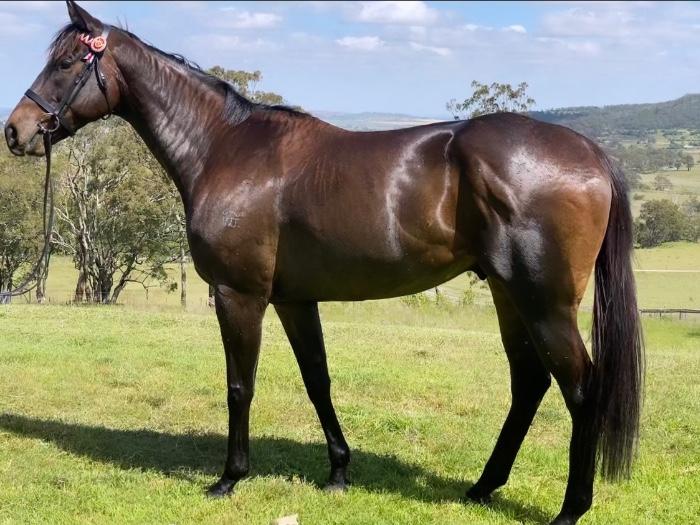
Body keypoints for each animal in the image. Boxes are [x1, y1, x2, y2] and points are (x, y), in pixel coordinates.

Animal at [4, 3, 643, 524]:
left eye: (66, 63)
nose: (16, 131)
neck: (224, 149)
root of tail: (591, 153)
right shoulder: (293, 299)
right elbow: (318, 379)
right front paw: (338, 471)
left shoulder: (239, 295)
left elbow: (240, 385)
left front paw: (229, 478)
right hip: (509, 295)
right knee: (529, 382)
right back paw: (483, 487)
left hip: (545, 303)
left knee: (580, 388)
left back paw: (570, 509)